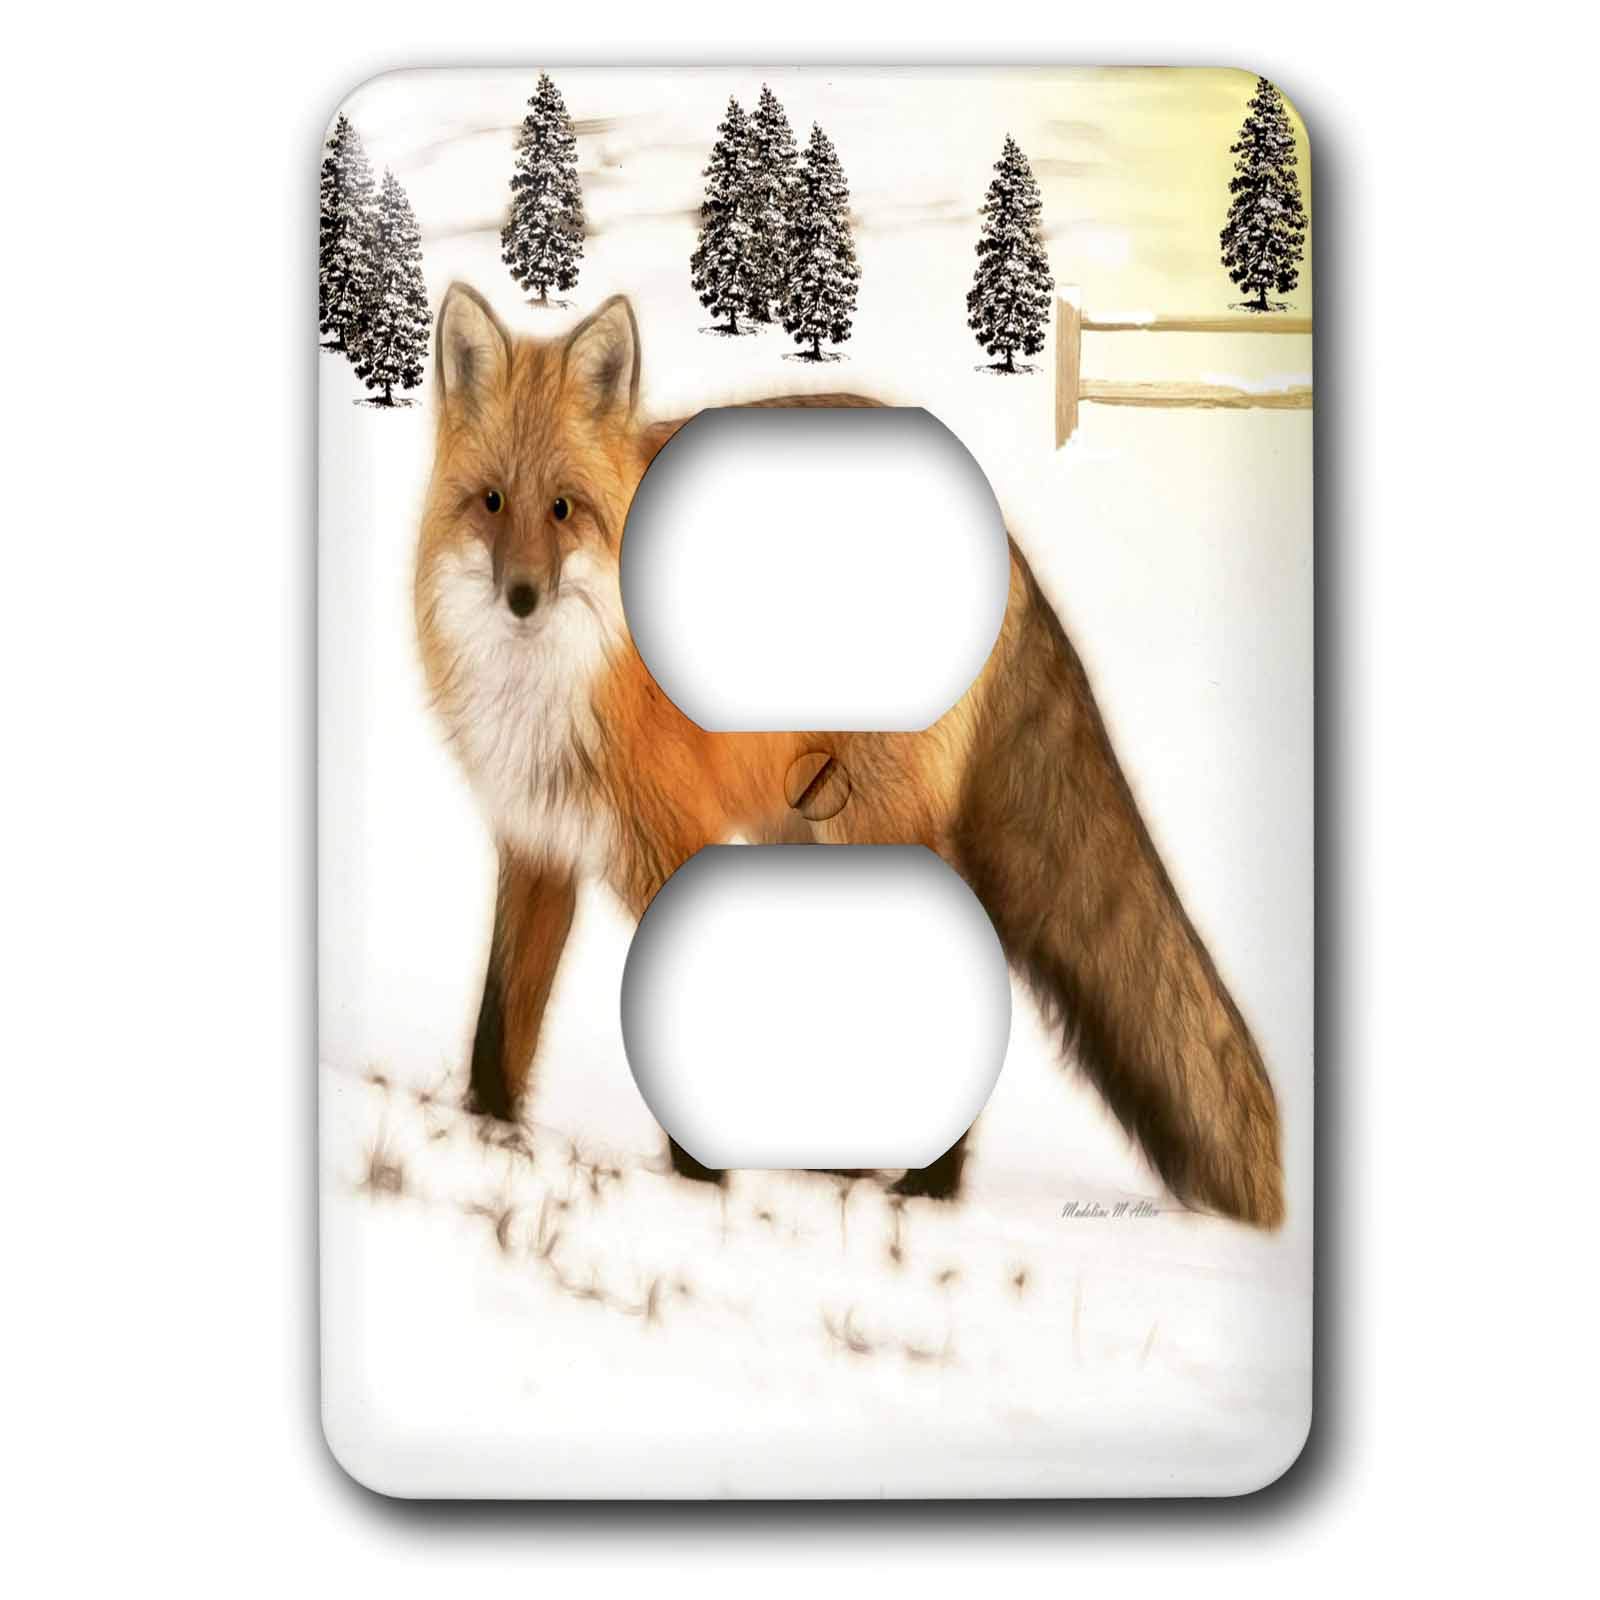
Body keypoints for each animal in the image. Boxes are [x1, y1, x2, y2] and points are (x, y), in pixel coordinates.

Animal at [413, 283, 1285, 1228]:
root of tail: (1006, 538)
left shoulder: (669, 845)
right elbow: (500, 1025)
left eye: (564, 508)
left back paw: (926, 1191)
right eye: (492, 502)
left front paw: (698, 1189)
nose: (521, 599)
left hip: (866, 831)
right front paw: (485, 1138)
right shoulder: (536, 845)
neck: (555, 679)